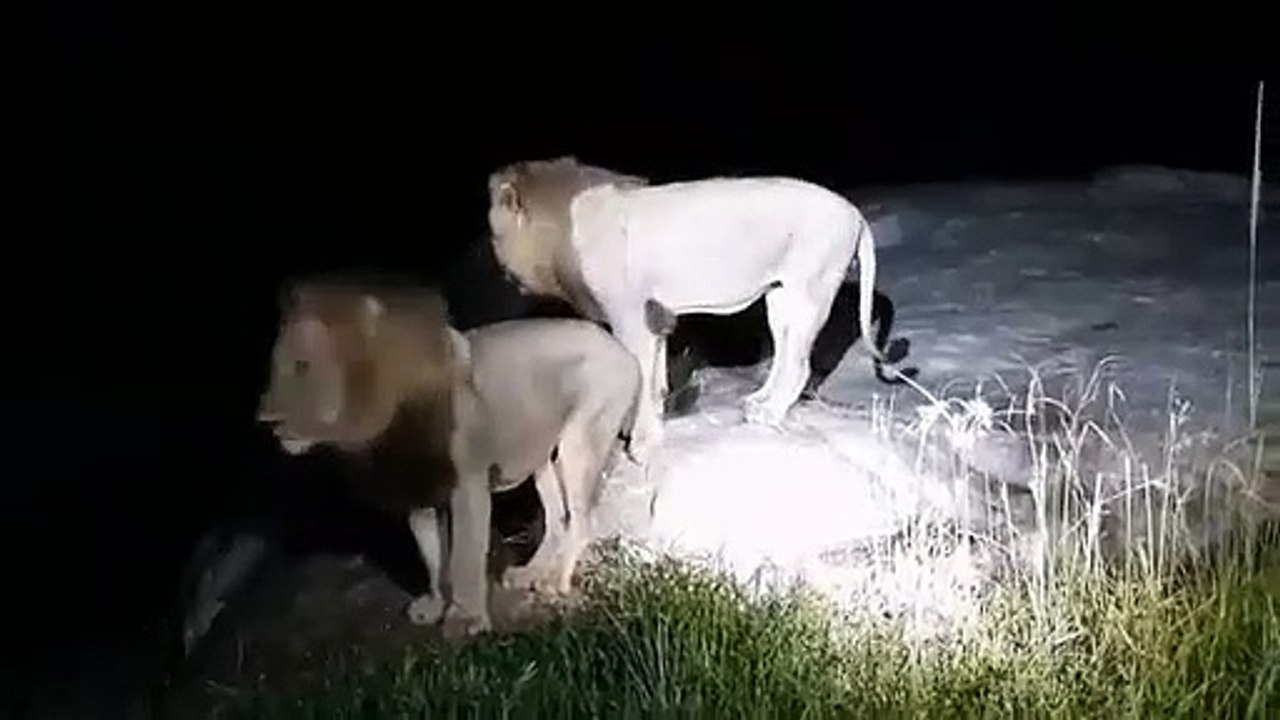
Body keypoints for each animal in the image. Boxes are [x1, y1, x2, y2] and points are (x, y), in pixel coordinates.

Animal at [256, 277, 642, 637]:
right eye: (274, 365)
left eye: (303, 365)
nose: (263, 418)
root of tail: (624, 352)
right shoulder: (418, 494)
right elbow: (432, 556)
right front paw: (435, 605)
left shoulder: (467, 485)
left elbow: (464, 557)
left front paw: (466, 620)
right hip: (540, 456)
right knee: (558, 517)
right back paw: (529, 573)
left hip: (578, 443)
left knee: (580, 519)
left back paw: (554, 581)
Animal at [487, 156, 884, 461]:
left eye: (494, 230)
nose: (501, 270)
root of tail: (855, 213)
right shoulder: (655, 314)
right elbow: (656, 380)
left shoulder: (630, 316)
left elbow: (641, 381)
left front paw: (640, 446)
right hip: (779, 297)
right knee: (785, 354)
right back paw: (757, 401)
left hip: (810, 290)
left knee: (799, 366)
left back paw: (767, 414)